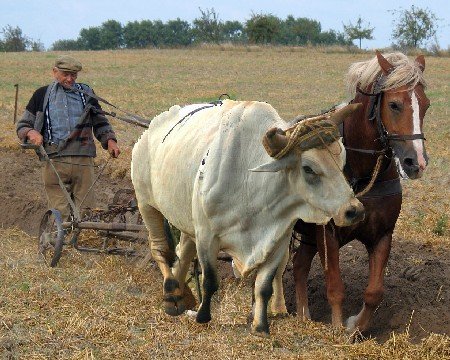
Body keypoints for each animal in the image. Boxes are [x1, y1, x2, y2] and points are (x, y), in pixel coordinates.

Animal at [292, 50, 428, 332]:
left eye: (426, 104)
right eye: (394, 104)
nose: (417, 163)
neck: (359, 171)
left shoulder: (382, 234)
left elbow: (374, 292)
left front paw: (355, 326)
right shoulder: (327, 233)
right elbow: (335, 287)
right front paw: (336, 329)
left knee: (298, 265)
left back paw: (303, 315)